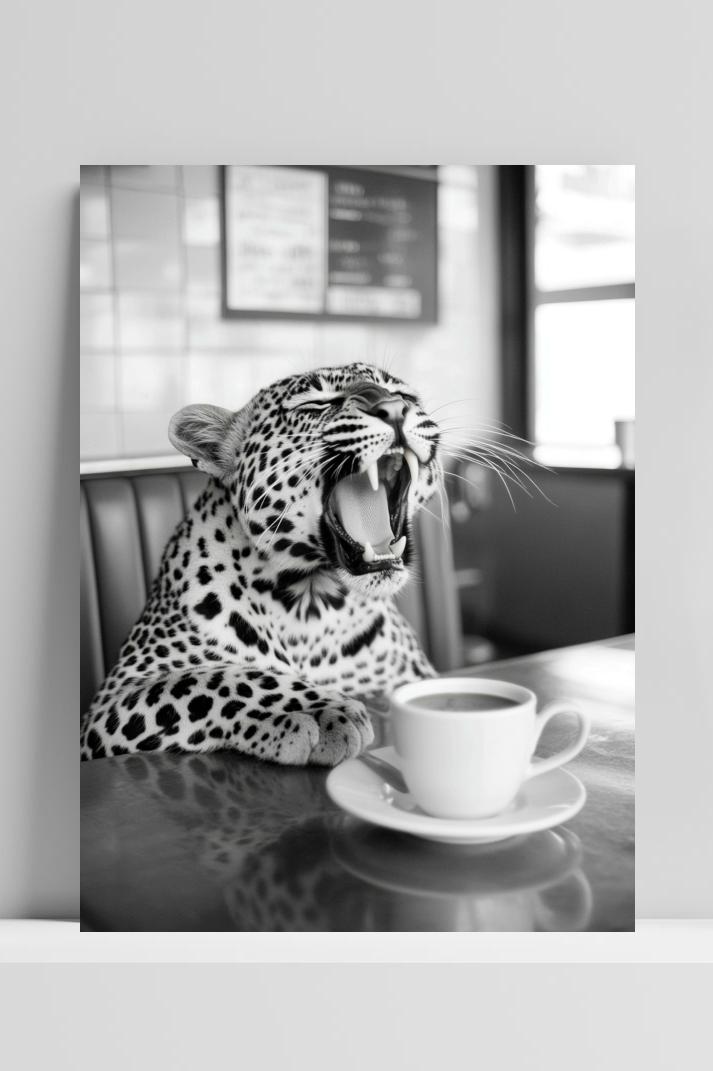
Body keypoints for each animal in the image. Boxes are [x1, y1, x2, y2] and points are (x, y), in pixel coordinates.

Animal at [80, 361, 444, 765]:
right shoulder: (116, 695)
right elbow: (214, 678)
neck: (313, 602)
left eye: (403, 394)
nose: (394, 409)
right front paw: (317, 710)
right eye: (317, 404)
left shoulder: (412, 678)